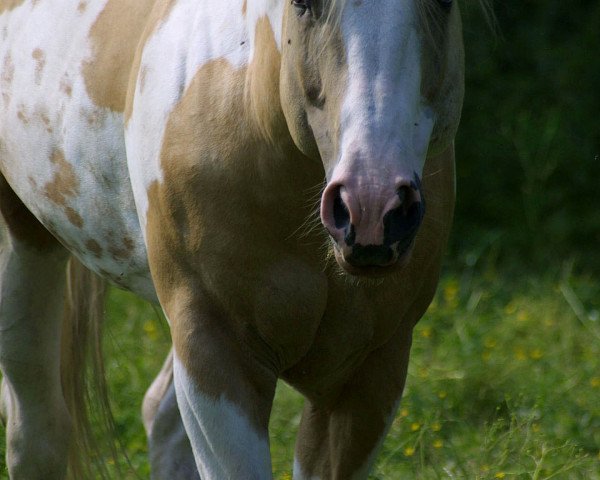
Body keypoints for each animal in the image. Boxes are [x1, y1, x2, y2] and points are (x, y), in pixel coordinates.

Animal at [0, 0, 464, 478]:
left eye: (444, 4)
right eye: (304, 5)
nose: (370, 208)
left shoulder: (370, 372)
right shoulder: (218, 357)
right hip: (26, 243)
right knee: (36, 434)